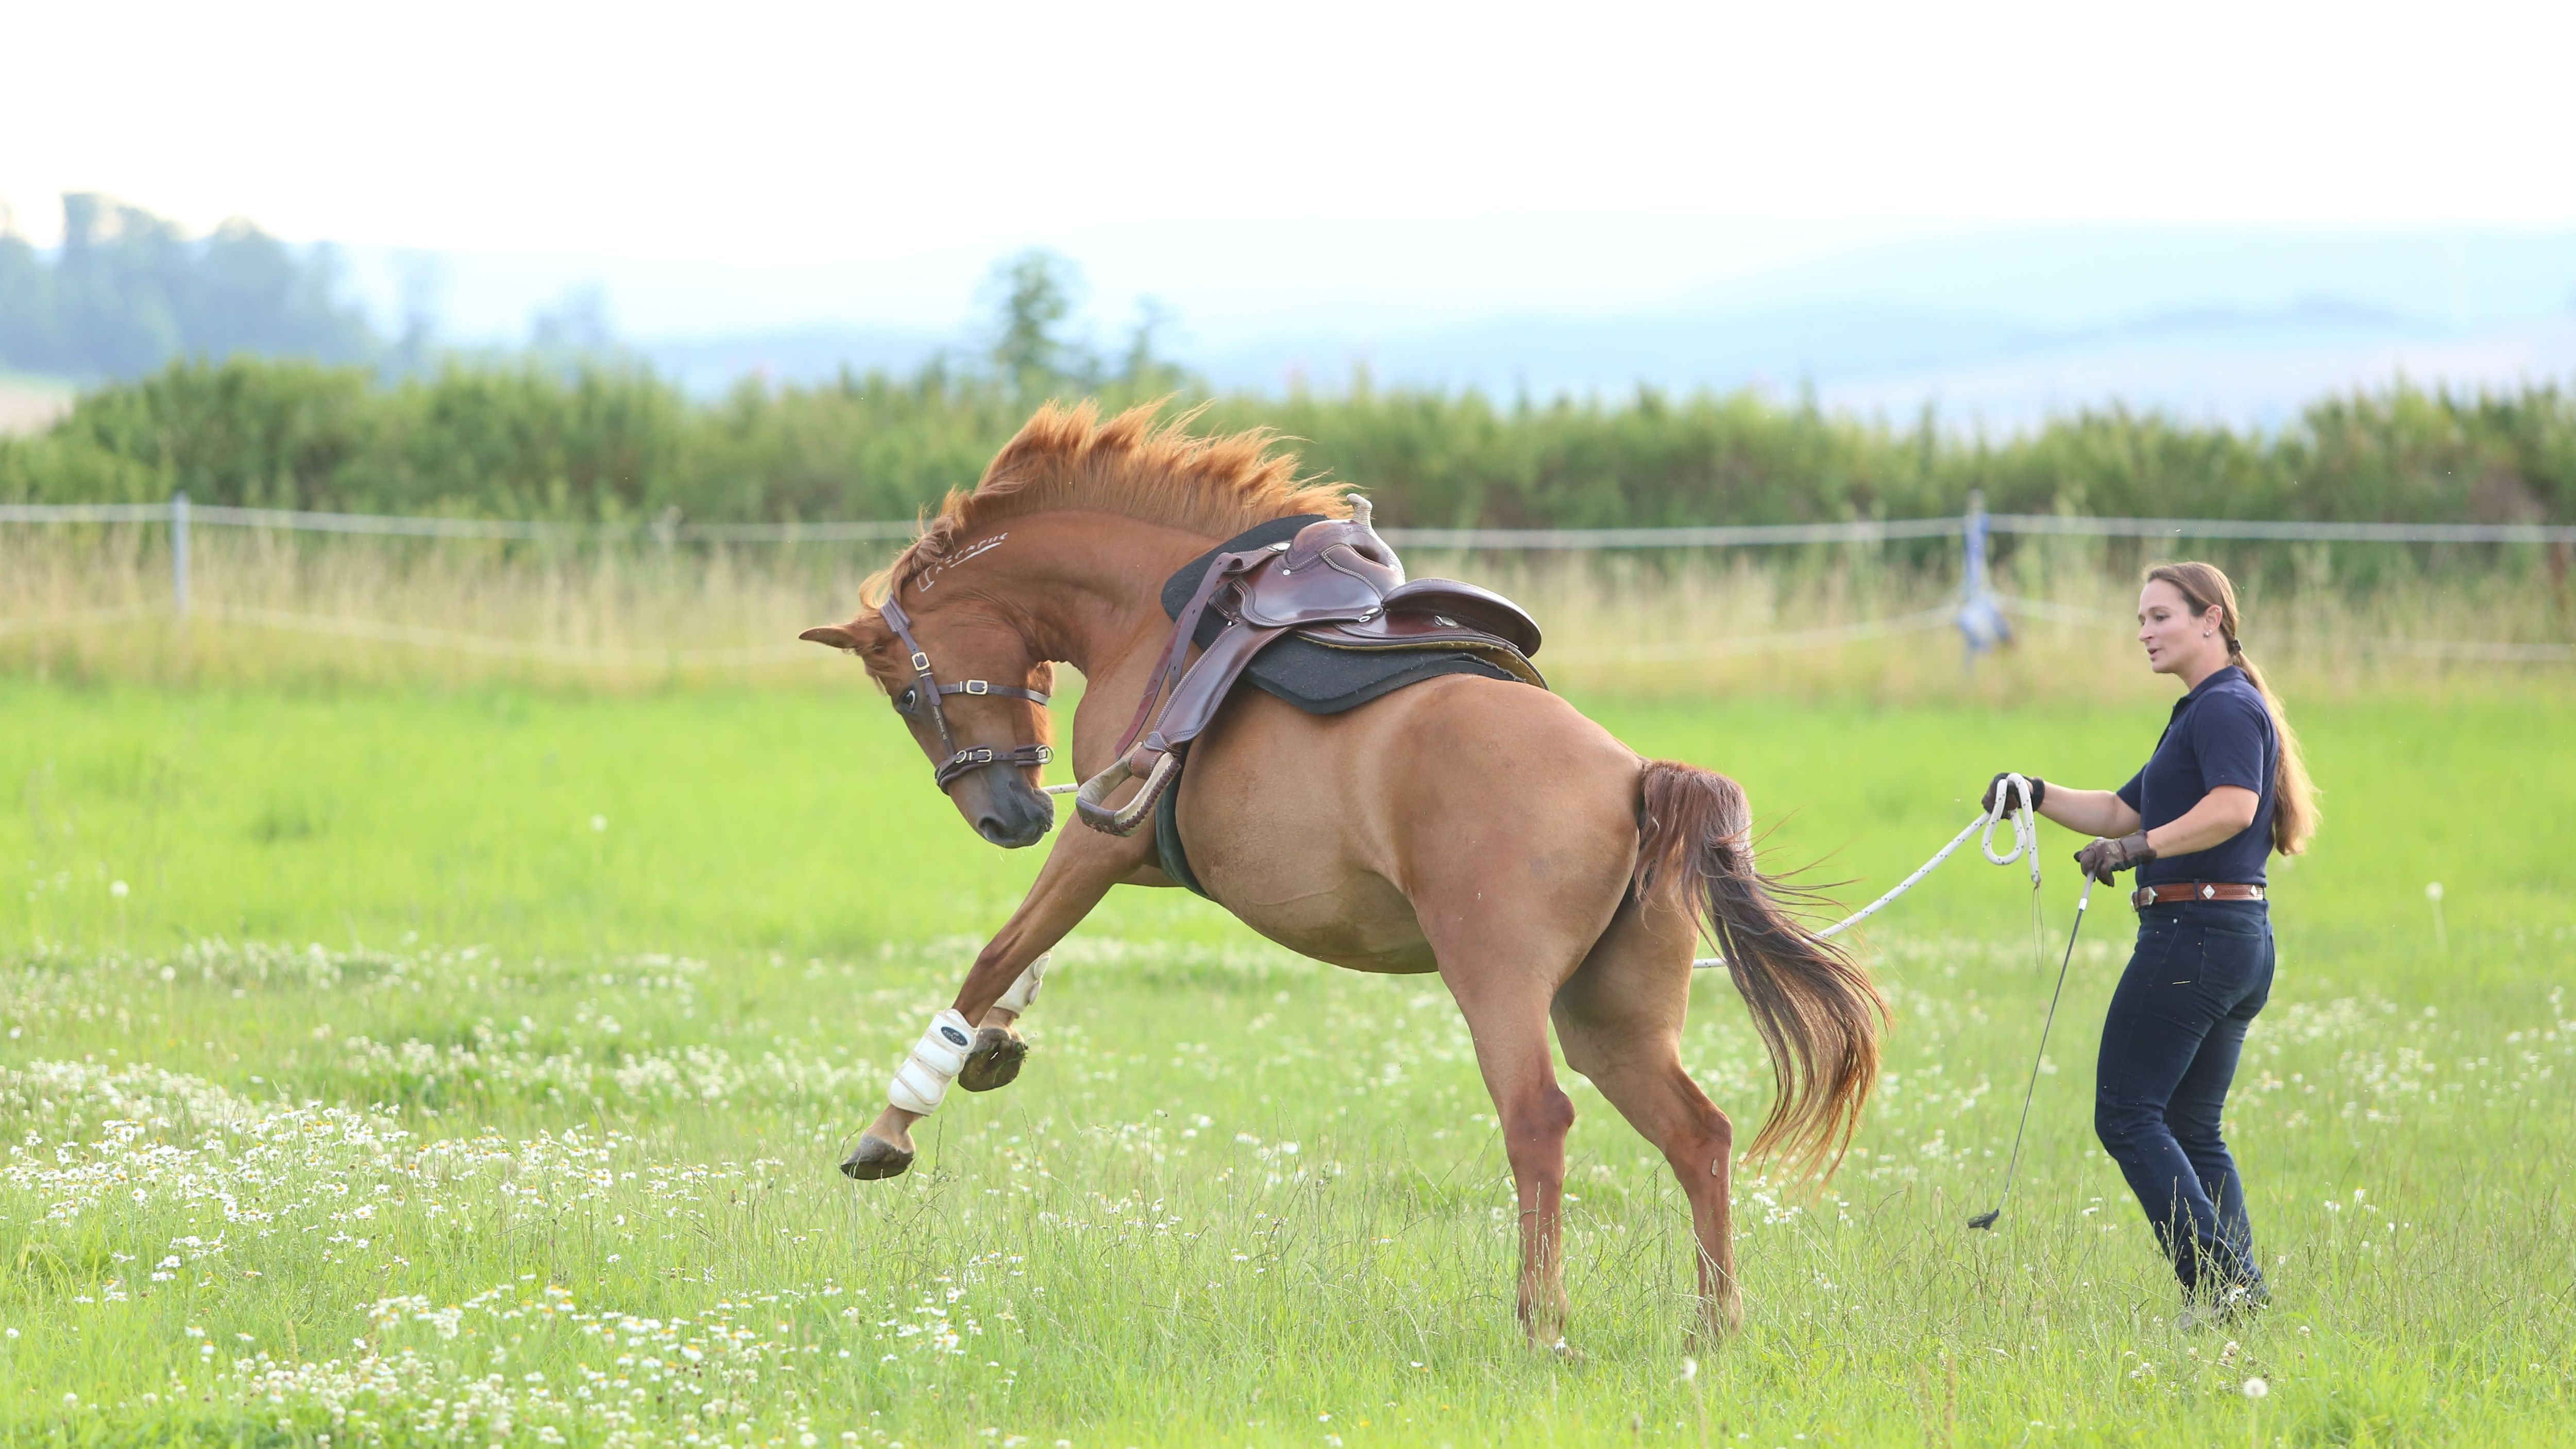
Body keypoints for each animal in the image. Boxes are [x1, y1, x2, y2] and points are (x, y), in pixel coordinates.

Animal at [793, 399, 1886, 1349]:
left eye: (900, 690)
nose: (1009, 817)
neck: (1157, 612)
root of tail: (1638, 777)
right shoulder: (1142, 856)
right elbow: (1029, 948)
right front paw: (995, 1039)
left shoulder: (1105, 836)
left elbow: (996, 950)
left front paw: (895, 1122)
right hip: (1611, 1015)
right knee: (1699, 1134)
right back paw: (1712, 1326)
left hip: (1500, 984)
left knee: (1539, 1119)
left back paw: (1540, 1322)